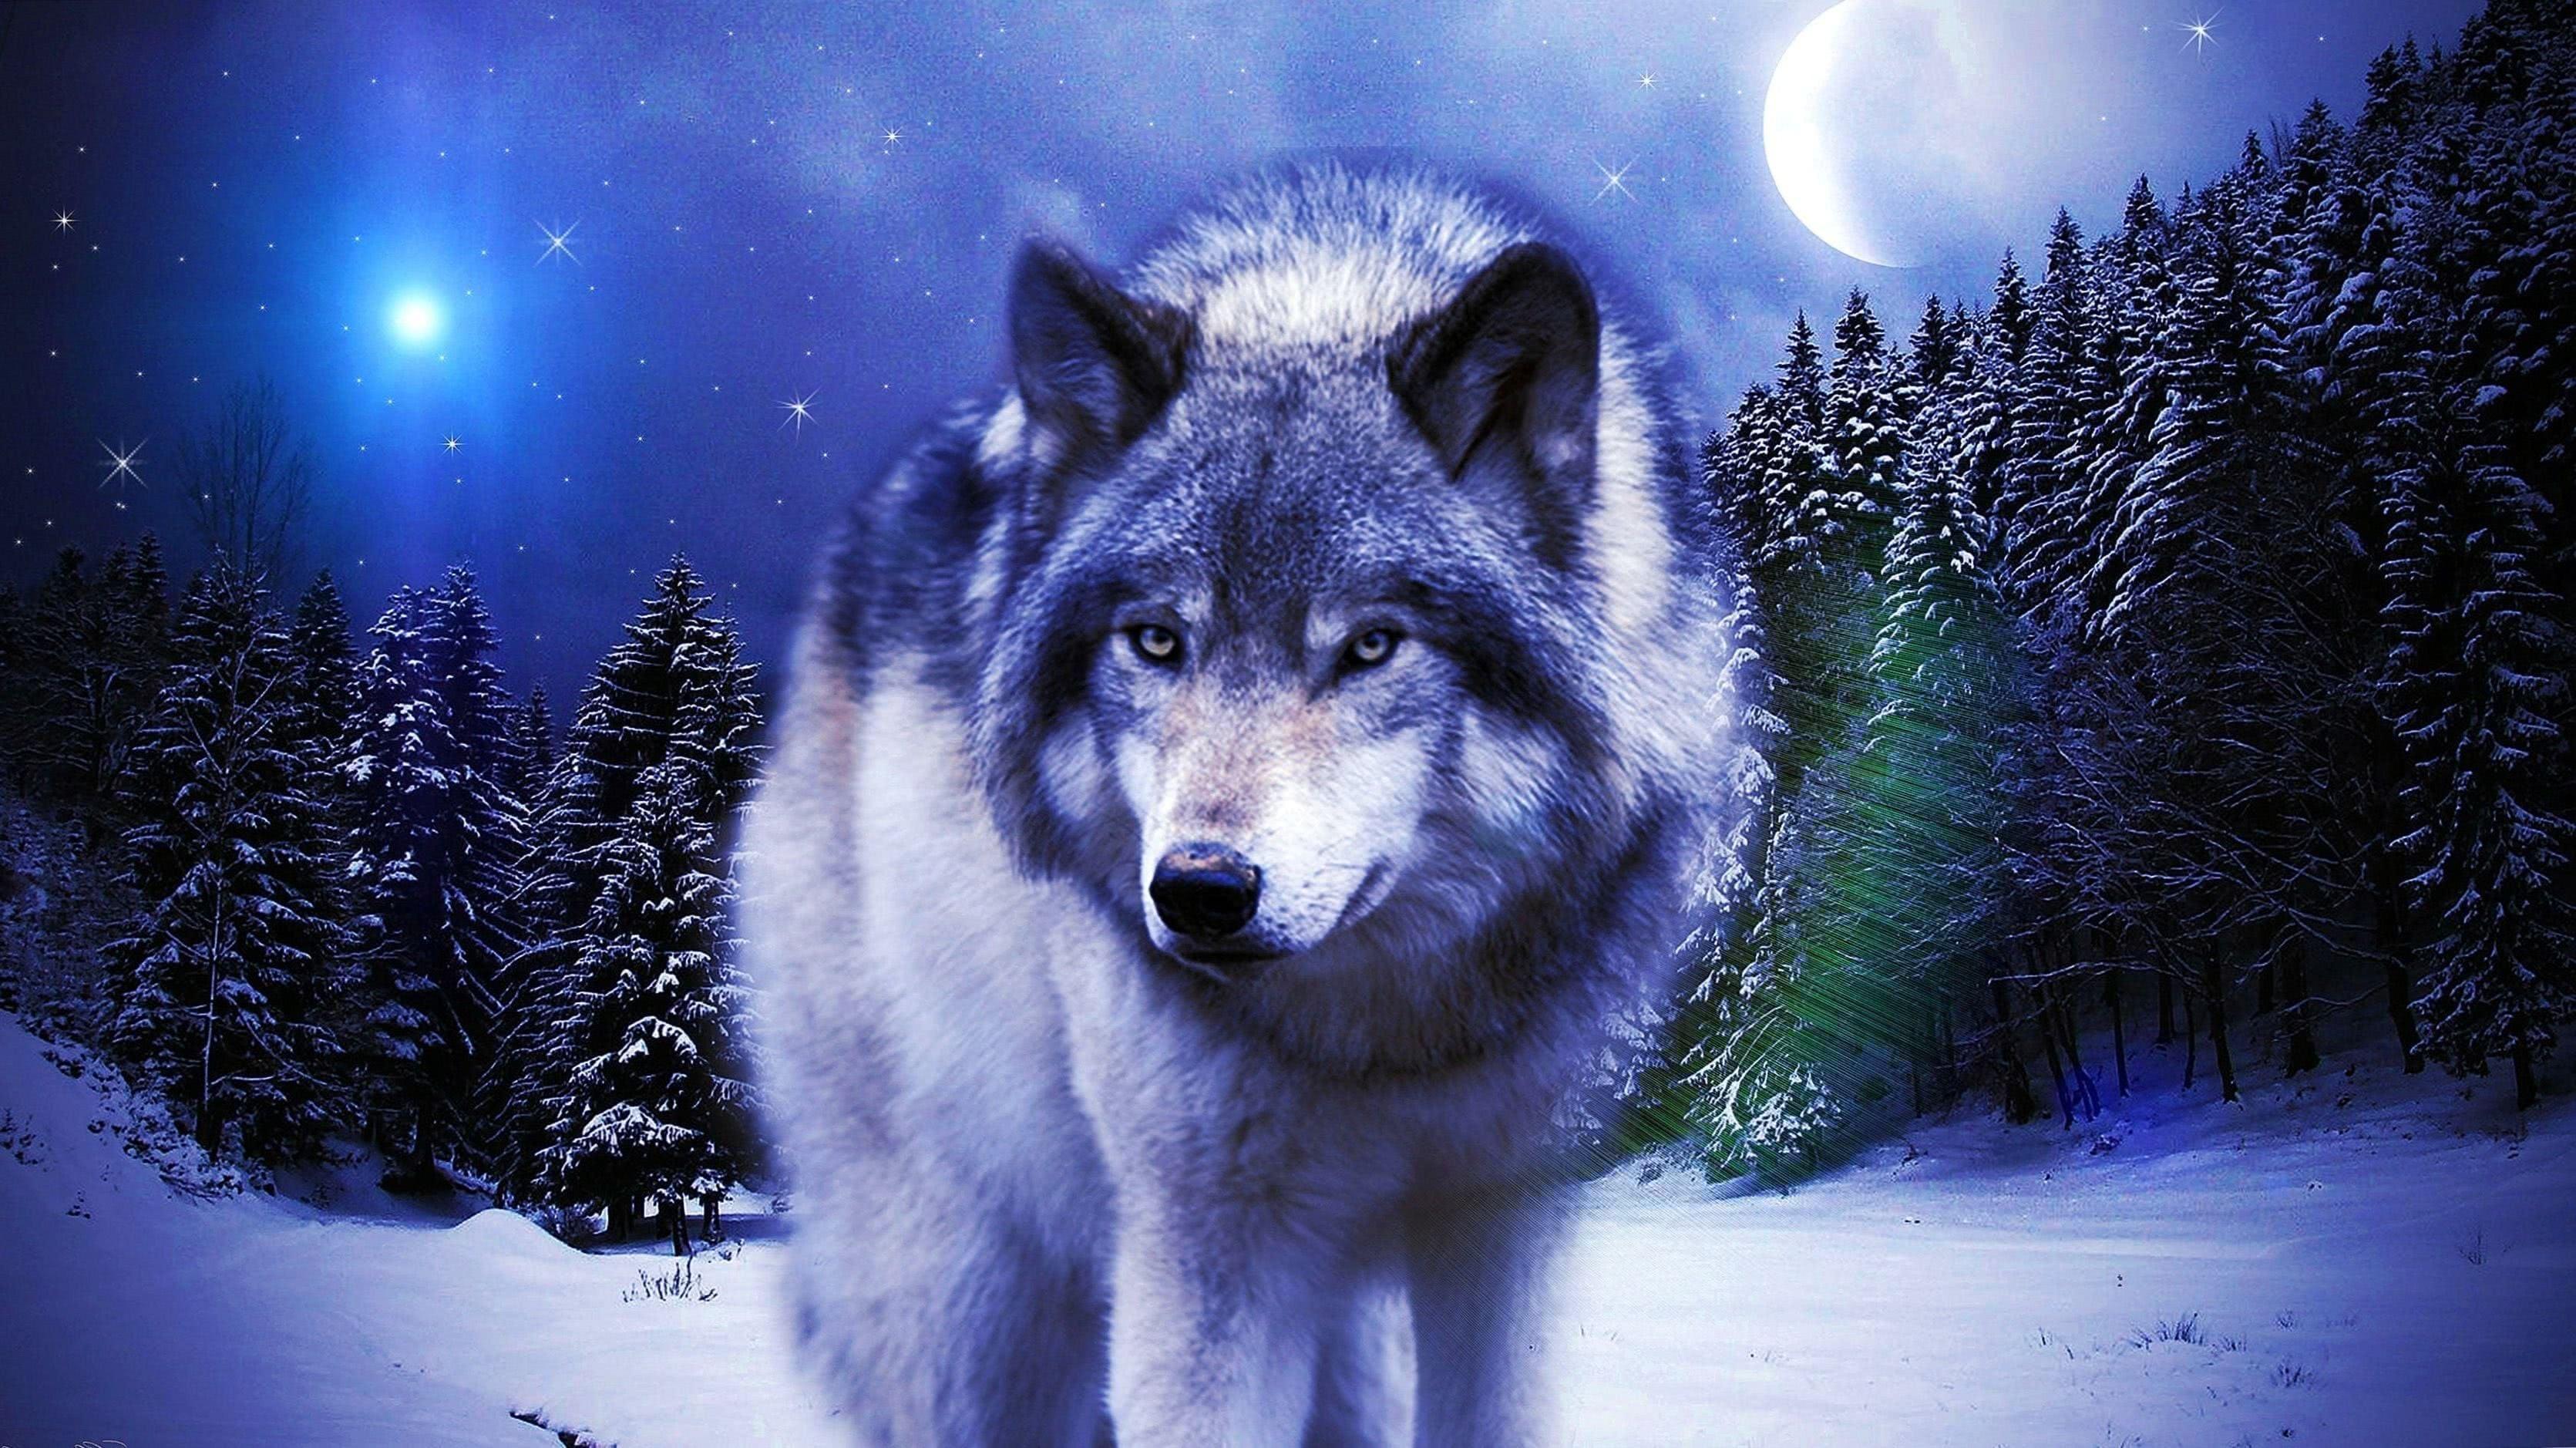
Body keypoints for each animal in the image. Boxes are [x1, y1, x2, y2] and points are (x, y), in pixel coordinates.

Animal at [744, 162, 1742, 1446]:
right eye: (1156, 640)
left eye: (1370, 645)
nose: (1199, 891)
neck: (1389, 1042)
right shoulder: (1208, 1248)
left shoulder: (1509, 1214)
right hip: (972, 1299)